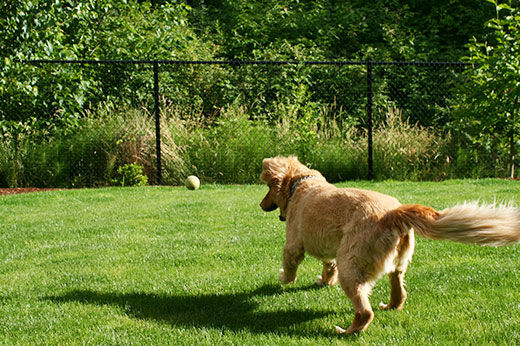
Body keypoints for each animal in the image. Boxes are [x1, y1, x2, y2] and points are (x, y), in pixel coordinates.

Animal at [260, 157, 520, 336]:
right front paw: (324, 281)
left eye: (268, 189)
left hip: (351, 266)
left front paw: (284, 279)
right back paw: (390, 306)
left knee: (365, 310)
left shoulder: (293, 244)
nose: (261, 205)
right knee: (399, 291)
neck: (301, 184)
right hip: (397, 264)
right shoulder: (329, 248)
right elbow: (328, 265)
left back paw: (347, 331)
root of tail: (392, 214)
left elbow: (290, 264)